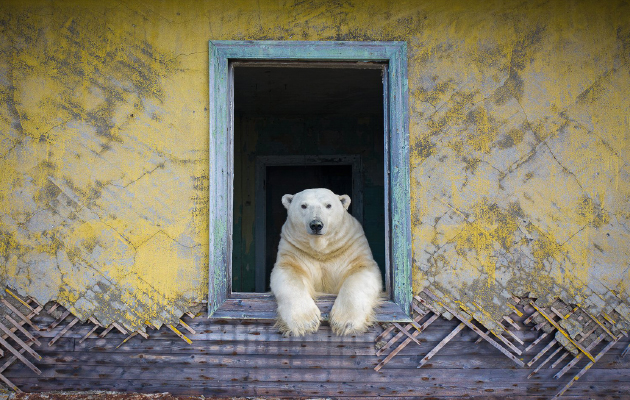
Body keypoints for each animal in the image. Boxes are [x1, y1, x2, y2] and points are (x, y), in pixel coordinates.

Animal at [270, 188, 382, 334]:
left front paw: (344, 323)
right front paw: (305, 322)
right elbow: (289, 273)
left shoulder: (351, 246)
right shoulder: (294, 249)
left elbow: (360, 271)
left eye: (328, 205)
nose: (316, 224)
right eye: (303, 205)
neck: (322, 250)